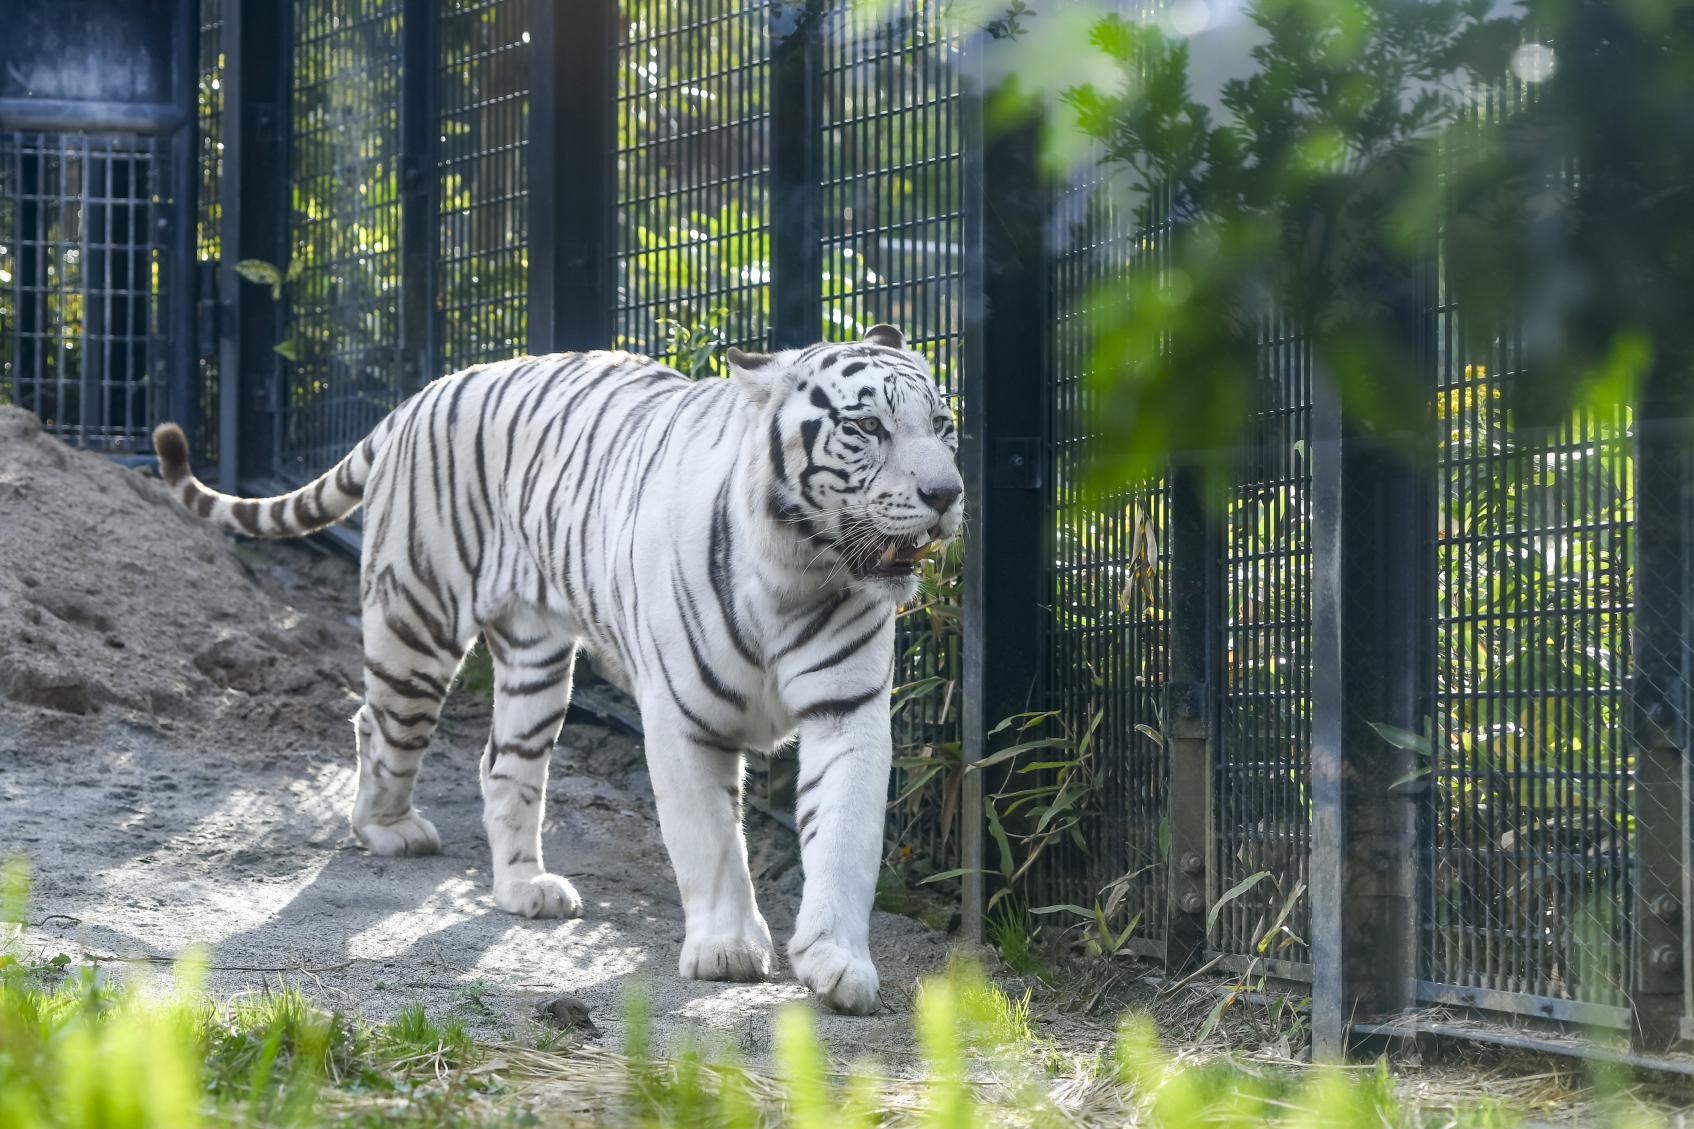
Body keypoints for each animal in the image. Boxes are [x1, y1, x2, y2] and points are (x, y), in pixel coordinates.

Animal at [154, 323, 968, 1010]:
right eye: (867, 427)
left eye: (943, 425)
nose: (947, 494)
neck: (799, 568)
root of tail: (426, 391)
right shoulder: (683, 717)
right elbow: (709, 839)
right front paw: (728, 949)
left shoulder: (847, 711)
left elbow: (845, 838)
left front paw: (838, 962)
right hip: (416, 622)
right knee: (377, 722)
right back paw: (387, 827)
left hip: (535, 659)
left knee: (502, 765)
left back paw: (525, 887)